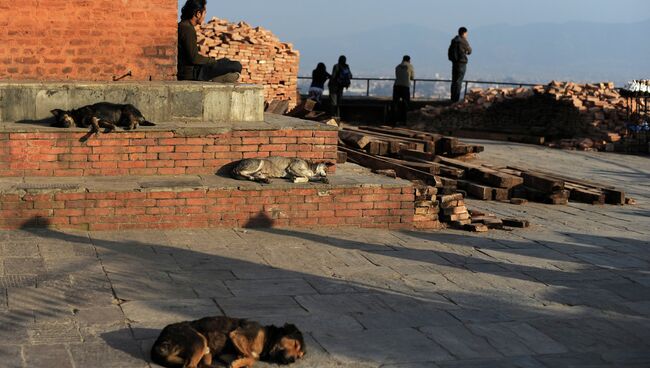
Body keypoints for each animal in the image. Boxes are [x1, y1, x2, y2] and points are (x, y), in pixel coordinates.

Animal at [151, 316, 306, 368]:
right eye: (295, 344)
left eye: (299, 356)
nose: (293, 360)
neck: (268, 338)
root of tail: (157, 343)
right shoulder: (237, 335)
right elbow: (252, 357)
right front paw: (239, 363)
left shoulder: (228, 354)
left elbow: (250, 358)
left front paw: (239, 362)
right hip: (199, 339)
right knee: (190, 365)